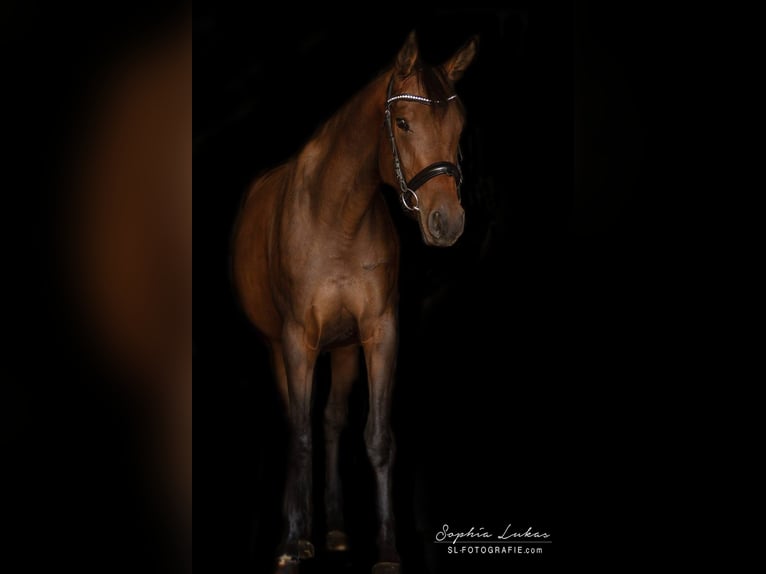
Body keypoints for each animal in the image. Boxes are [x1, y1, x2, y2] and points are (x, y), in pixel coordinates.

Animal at [232, 31, 477, 573]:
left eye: (459, 123)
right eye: (403, 122)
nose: (446, 221)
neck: (335, 219)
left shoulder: (379, 333)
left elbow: (376, 436)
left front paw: (386, 551)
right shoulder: (296, 341)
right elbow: (300, 435)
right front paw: (290, 544)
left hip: (342, 350)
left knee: (330, 422)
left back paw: (337, 530)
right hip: (276, 348)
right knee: (298, 422)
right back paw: (300, 534)